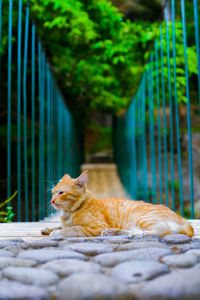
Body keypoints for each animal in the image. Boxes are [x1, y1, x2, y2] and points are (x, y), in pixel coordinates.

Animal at [42, 171, 194, 239]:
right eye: (52, 193)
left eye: (61, 193)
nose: (52, 201)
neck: (68, 212)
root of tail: (185, 221)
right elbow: (61, 225)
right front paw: (48, 229)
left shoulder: (95, 227)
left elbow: (72, 229)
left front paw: (57, 232)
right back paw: (114, 232)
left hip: (144, 218)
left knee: (160, 231)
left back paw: (138, 235)